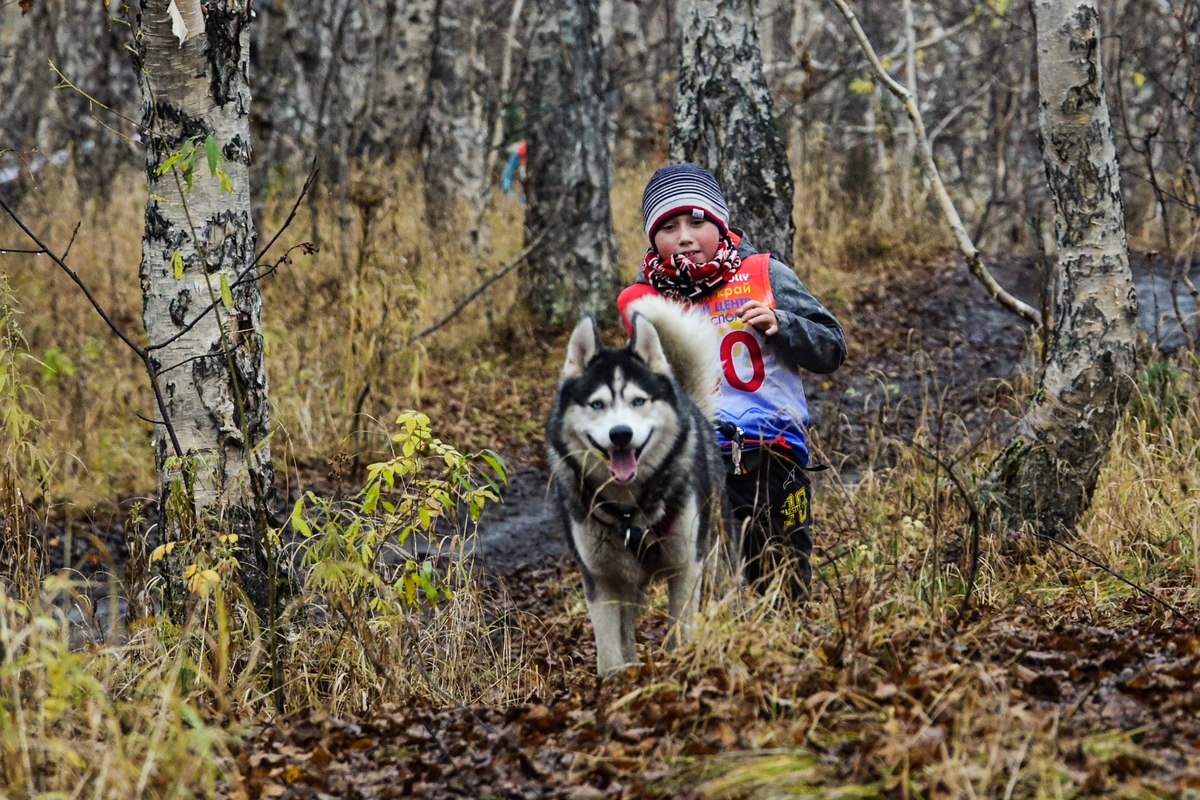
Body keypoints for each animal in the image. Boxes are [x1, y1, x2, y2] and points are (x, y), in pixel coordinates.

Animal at [547, 297, 729, 681]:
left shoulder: (685, 566)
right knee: (627, 629)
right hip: (627, 582)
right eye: (597, 404)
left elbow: (679, 631)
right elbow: (610, 654)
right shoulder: (601, 580)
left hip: (715, 549)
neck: (629, 509)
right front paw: (618, 682)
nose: (620, 434)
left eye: (638, 401)